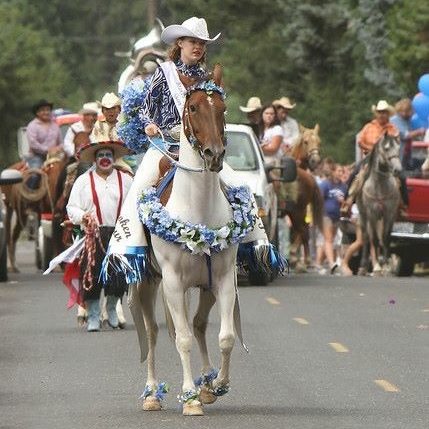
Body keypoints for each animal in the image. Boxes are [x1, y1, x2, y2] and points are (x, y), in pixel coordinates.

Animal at [128, 65, 245, 416]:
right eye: (192, 108)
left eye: (223, 109)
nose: (214, 154)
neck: (199, 210)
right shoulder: (173, 283)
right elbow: (180, 339)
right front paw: (190, 398)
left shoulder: (223, 279)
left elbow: (225, 336)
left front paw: (217, 384)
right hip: (149, 283)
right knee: (153, 332)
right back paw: (152, 394)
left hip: (204, 287)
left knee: (199, 324)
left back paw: (206, 385)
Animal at [284, 124, 324, 268]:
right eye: (305, 142)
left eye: (319, 142)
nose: (315, 161)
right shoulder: (296, 210)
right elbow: (300, 232)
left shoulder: (299, 210)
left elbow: (300, 232)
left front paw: (298, 258)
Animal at [356, 135, 402, 275]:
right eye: (386, 148)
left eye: (398, 147)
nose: (398, 170)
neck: (380, 186)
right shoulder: (372, 213)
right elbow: (374, 239)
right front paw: (378, 267)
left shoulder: (389, 213)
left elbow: (385, 237)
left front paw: (386, 265)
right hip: (363, 215)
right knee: (367, 237)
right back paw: (364, 266)